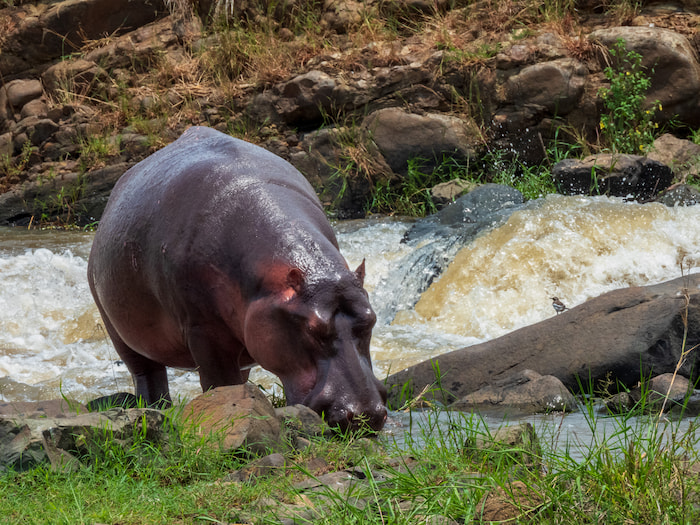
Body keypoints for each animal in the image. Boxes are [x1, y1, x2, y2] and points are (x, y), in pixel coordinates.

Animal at [87, 126, 387, 432]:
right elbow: (220, 383)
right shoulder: (202, 331)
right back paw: (156, 408)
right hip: (118, 330)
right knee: (147, 374)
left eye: (371, 319)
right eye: (312, 328)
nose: (365, 415)